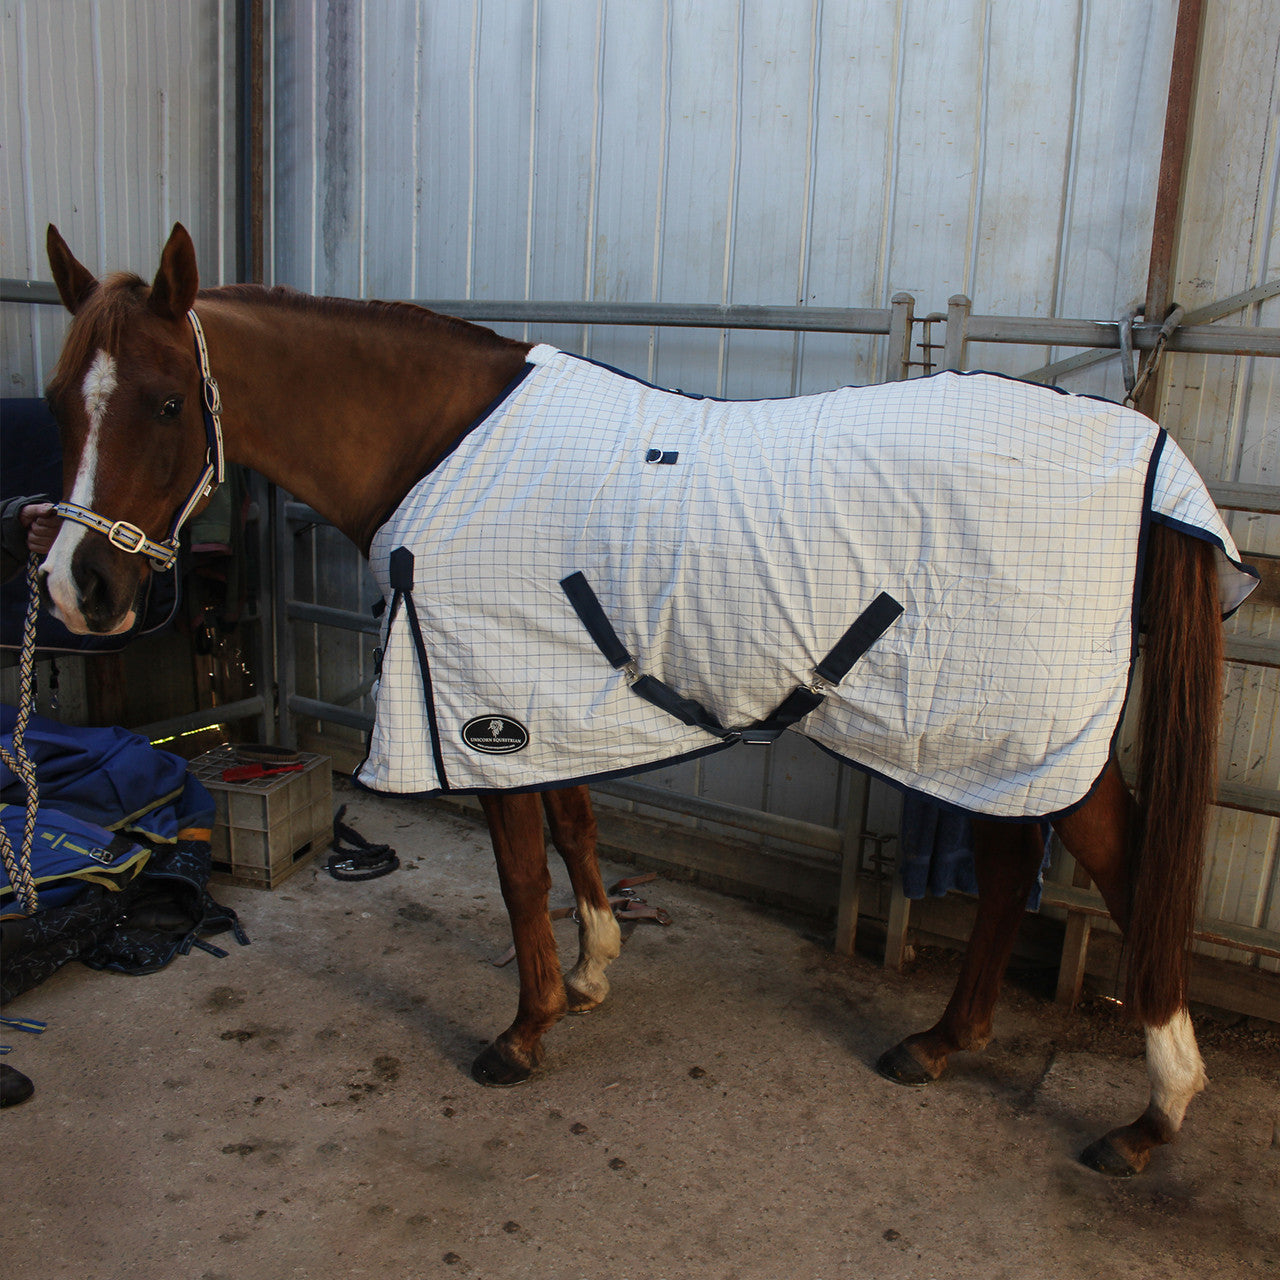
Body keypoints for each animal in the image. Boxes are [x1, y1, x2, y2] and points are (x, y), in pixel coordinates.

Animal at [37, 222, 1245, 1178]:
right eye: (57, 401)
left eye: (163, 401)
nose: (75, 588)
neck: (440, 445)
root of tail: (1148, 449)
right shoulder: (542, 701)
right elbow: (575, 830)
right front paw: (591, 974)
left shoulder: (485, 702)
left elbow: (521, 876)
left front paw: (523, 1033)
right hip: (985, 736)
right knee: (1005, 877)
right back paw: (943, 1044)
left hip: (1027, 732)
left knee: (1127, 873)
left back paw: (1155, 1114)